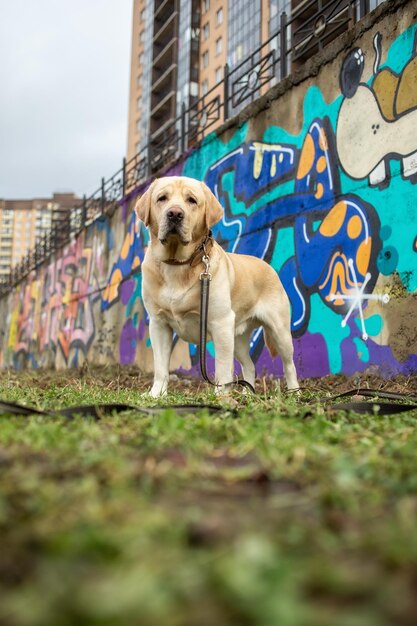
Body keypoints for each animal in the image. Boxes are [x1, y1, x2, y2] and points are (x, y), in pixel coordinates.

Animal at [135, 176, 298, 394]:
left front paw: (221, 396)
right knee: (249, 365)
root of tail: (268, 266)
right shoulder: (159, 323)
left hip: (278, 331)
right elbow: (161, 367)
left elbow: (222, 369)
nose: (175, 214)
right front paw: (156, 394)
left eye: (191, 200)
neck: (178, 264)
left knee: (289, 364)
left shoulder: (221, 323)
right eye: (162, 198)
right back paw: (248, 393)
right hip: (237, 338)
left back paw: (295, 391)